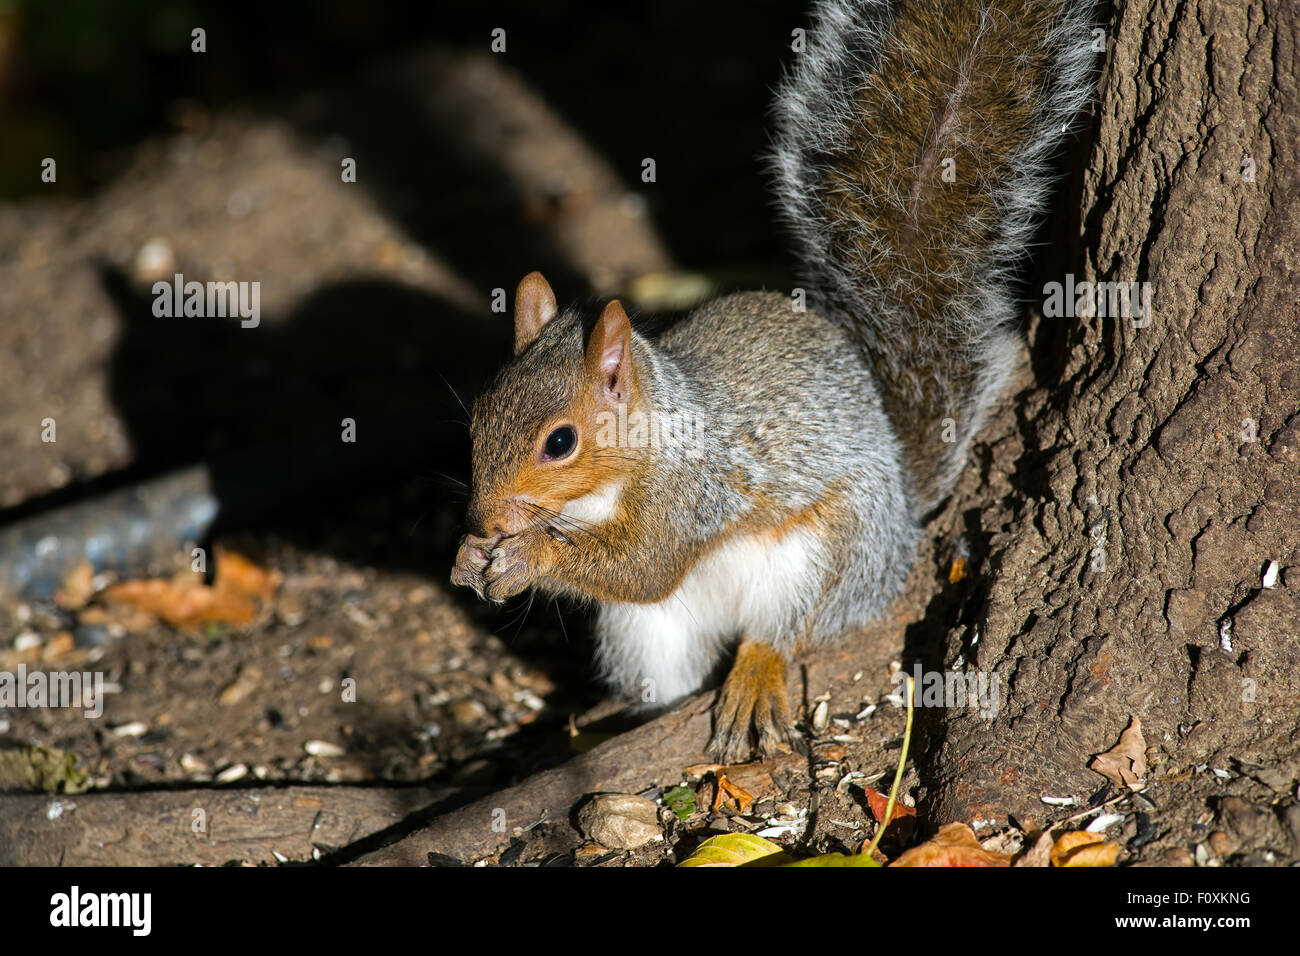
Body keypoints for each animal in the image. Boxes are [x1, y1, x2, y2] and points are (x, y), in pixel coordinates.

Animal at [451, 0, 1096, 762]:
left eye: (560, 443)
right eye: (477, 419)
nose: (484, 520)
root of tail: (903, 515)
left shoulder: (691, 494)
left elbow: (644, 568)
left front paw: (529, 555)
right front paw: (470, 556)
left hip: (827, 558)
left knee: (785, 632)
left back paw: (755, 673)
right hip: (648, 635)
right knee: (670, 673)